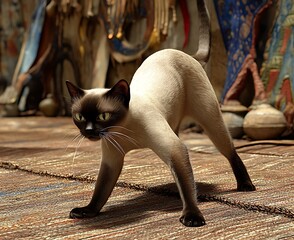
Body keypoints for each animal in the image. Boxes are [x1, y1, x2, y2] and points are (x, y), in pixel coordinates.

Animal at [66, 48, 255, 227]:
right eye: (80, 117)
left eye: (103, 116)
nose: (89, 131)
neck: (125, 129)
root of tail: (186, 53)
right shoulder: (111, 160)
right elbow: (100, 191)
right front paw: (88, 211)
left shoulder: (174, 148)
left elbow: (186, 187)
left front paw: (192, 217)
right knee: (183, 171)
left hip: (211, 123)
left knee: (230, 152)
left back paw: (246, 186)